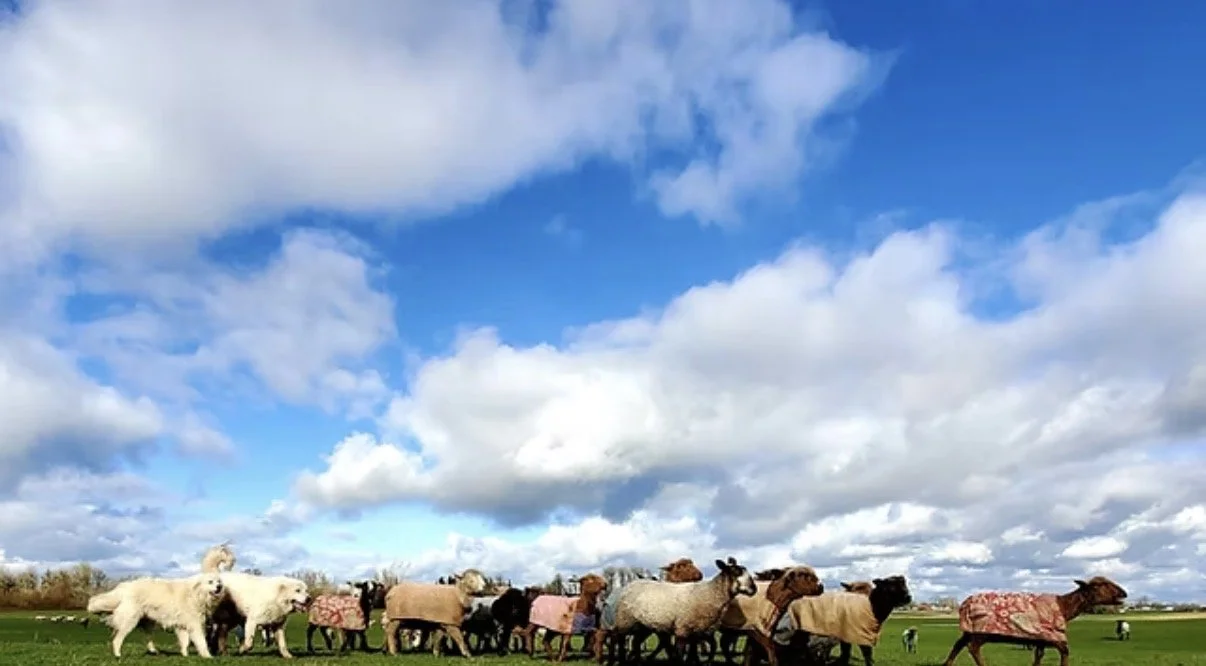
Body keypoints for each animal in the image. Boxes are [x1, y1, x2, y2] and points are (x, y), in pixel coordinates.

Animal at [611, 557, 757, 663]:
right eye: (736, 572)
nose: (754, 589)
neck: (710, 593)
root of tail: (630, 585)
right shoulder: (682, 629)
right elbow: (680, 654)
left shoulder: (696, 632)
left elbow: (692, 655)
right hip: (625, 619)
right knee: (620, 639)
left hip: (642, 625)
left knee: (636, 643)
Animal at [941, 576, 1128, 666]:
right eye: (1099, 585)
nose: (1124, 593)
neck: (1063, 606)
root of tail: (965, 603)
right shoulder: (1055, 636)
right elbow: (1065, 652)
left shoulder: (1040, 640)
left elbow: (1038, 658)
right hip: (981, 631)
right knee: (973, 648)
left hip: (969, 630)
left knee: (958, 644)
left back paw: (946, 664)